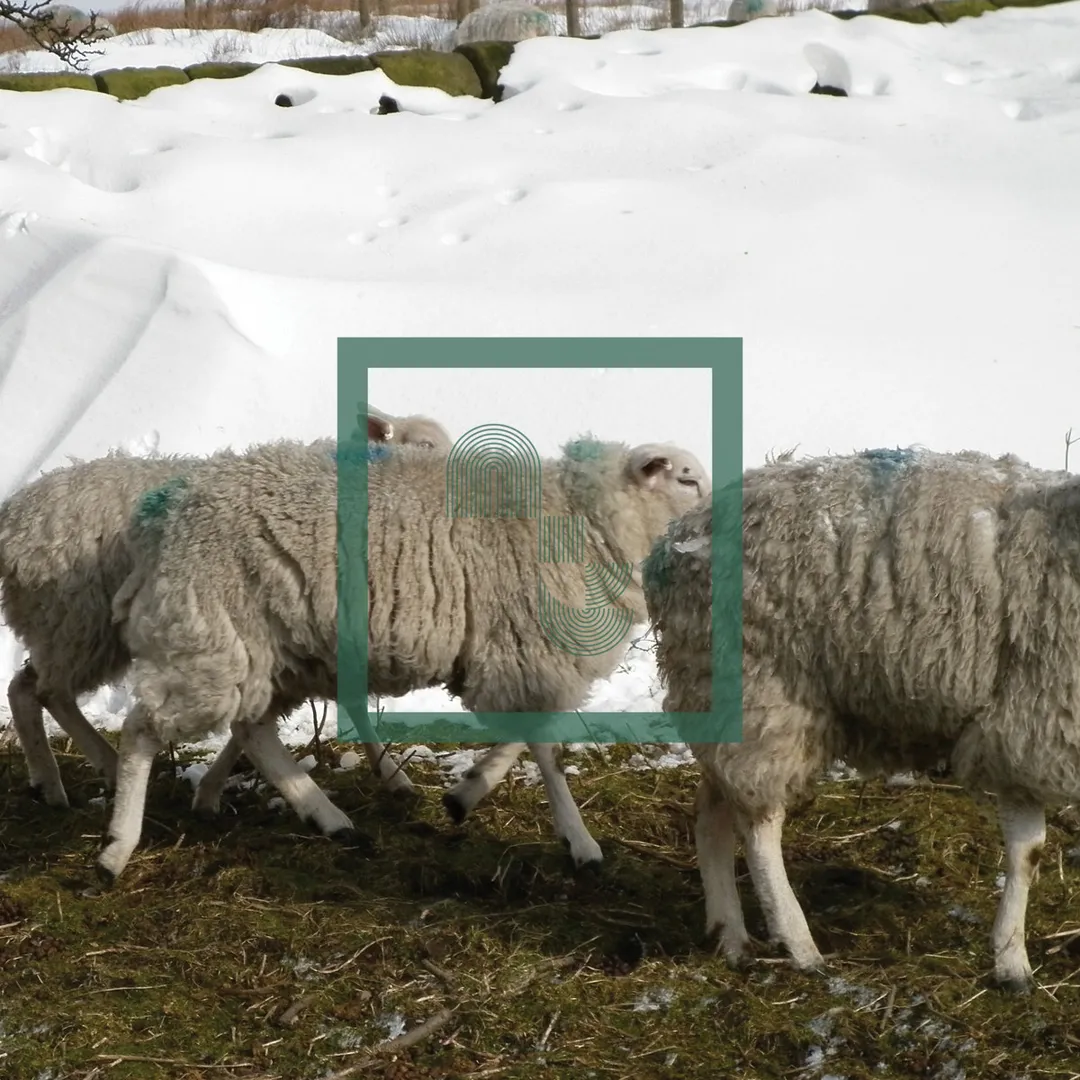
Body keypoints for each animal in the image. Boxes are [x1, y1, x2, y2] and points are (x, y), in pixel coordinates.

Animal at [95, 433, 710, 882]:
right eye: (687, 478)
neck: (589, 519)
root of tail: (164, 514)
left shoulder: (520, 658)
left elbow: (523, 738)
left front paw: (466, 793)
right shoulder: (524, 650)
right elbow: (546, 751)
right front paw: (580, 844)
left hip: (262, 646)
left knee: (252, 728)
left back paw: (321, 816)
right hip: (211, 632)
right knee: (145, 730)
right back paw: (115, 850)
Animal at [643, 445, 1080, 992]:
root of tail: (672, 543)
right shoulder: (1027, 723)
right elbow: (1029, 851)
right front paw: (1011, 961)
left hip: (723, 699)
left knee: (713, 809)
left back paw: (731, 935)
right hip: (762, 688)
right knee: (760, 825)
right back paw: (799, 944)